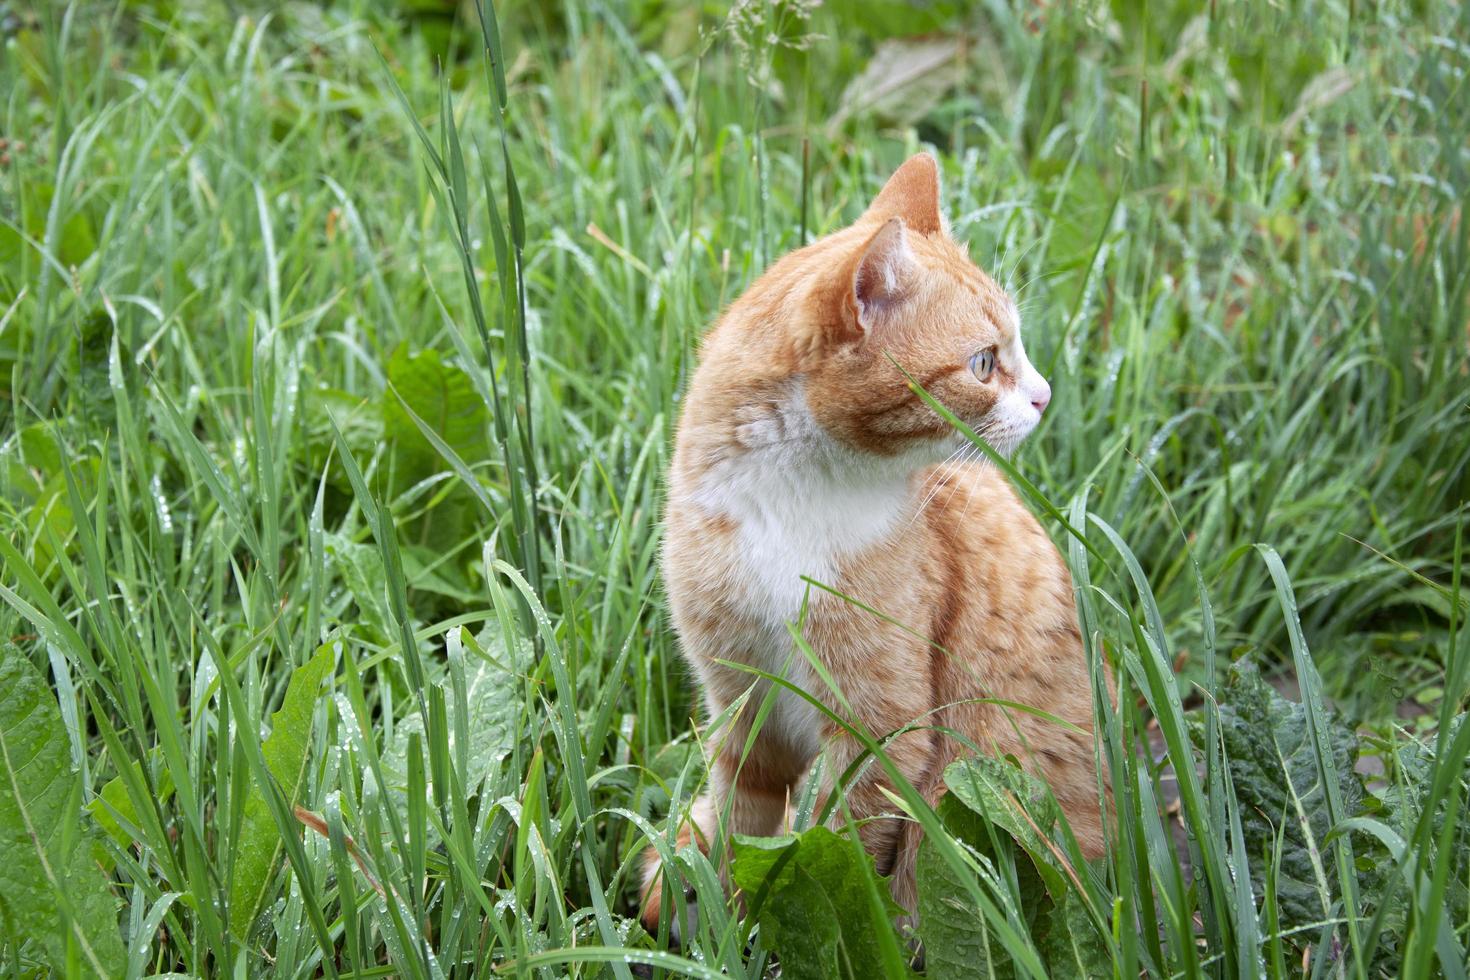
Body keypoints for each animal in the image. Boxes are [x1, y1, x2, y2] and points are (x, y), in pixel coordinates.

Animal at [637, 151, 1105, 928]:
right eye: (984, 363)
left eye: (1014, 350)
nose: (1044, 395)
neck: (790, 502)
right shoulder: (743, 708)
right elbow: (744, 826)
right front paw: (729, 918)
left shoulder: (880, 735)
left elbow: (837, 849)